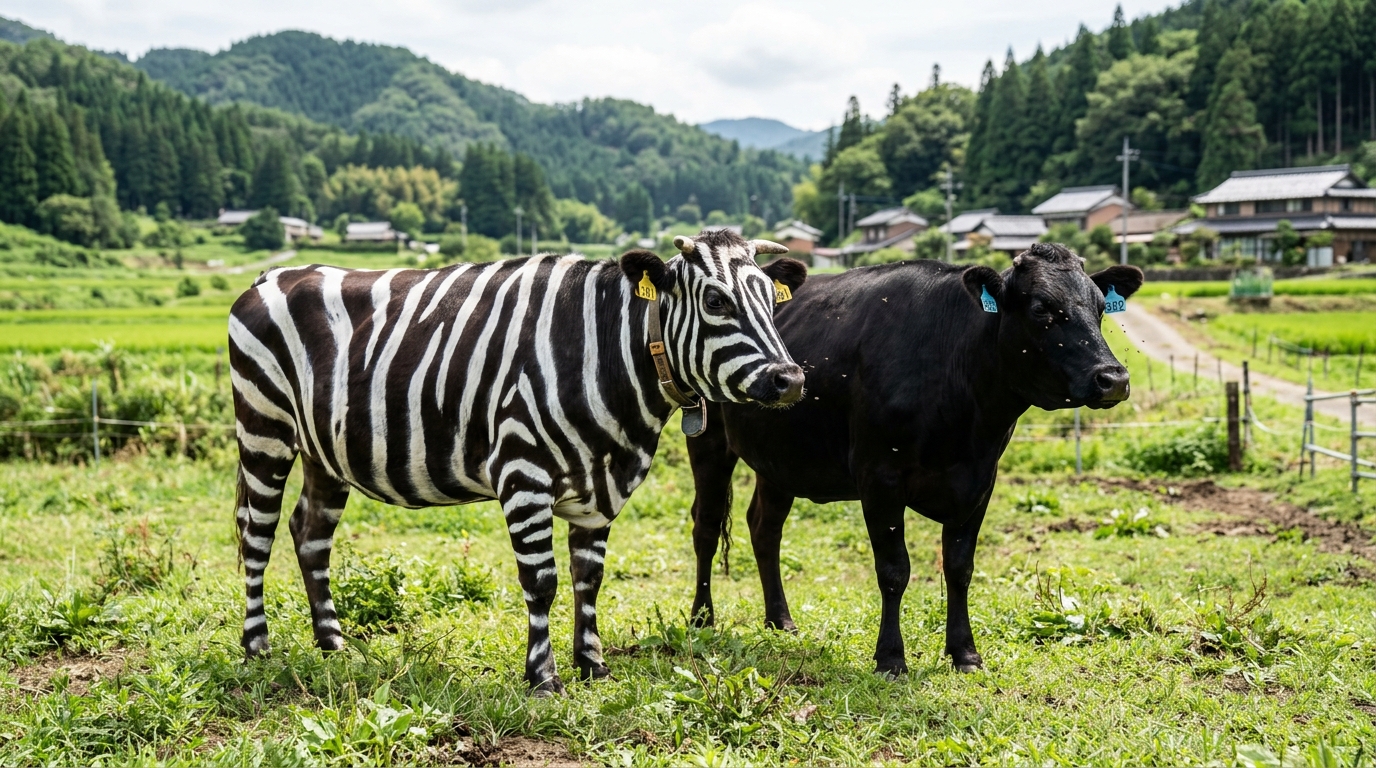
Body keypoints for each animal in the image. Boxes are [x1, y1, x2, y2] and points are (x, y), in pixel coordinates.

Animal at [684, 242, 1143, 675]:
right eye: (1041, 308)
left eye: (1100, 308)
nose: (1114, 378)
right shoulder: (879, 478)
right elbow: (894, 571)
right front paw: (890, 658)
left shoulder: (980, 481)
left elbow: (959, 568)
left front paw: (965, 653)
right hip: (708, 440)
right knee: (706, 526)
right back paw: (702, 619)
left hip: (780, 458)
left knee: (765, 527)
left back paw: (780, 620)